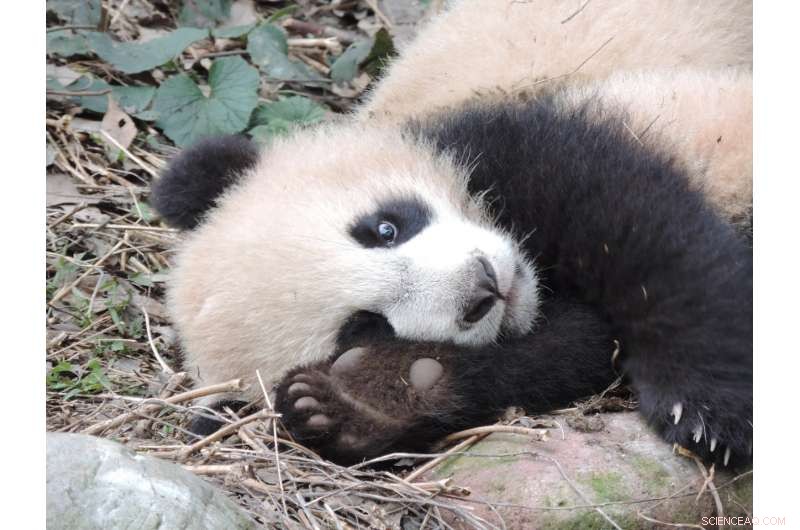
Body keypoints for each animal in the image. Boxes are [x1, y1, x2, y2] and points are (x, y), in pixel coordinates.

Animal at [152, 0, 752, 466]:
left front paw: (705, 409)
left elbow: (645, 234)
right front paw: (357, 406)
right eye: (362, 326)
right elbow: (563, 352)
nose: (483, 287)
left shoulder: (520, 135)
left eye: (384, 228)